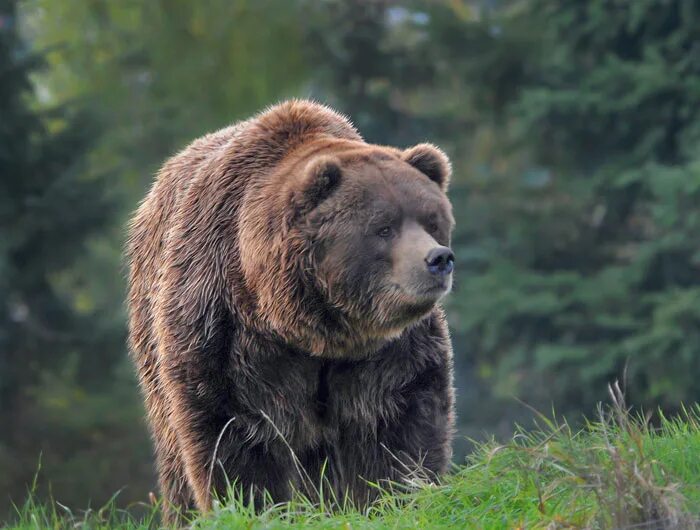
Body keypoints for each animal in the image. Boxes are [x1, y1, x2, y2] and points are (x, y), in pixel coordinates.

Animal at [125, 100, 454, 520]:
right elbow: (232, 427)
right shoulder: (227, 328)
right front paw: (250, 505)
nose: (438, 259)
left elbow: (399, 413)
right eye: (384, 227)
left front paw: (397, 494)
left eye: (432, 220)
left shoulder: (386, 350)